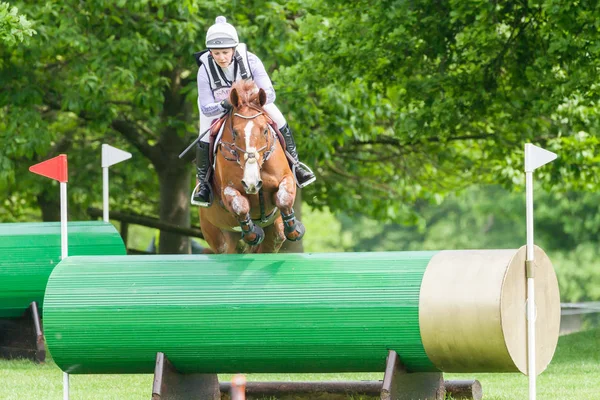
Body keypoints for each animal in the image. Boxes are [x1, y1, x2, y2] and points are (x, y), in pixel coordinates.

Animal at [199, 80, 308, 253]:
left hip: (274, 234)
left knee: (275, 238)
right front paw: (254, 233)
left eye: (264, 130)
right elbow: (241, 206)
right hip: (217, 236)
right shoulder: (227, 190)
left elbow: (284, 199)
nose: (252, 183)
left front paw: (295, 230)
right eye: (235, 133)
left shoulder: (287, 178)